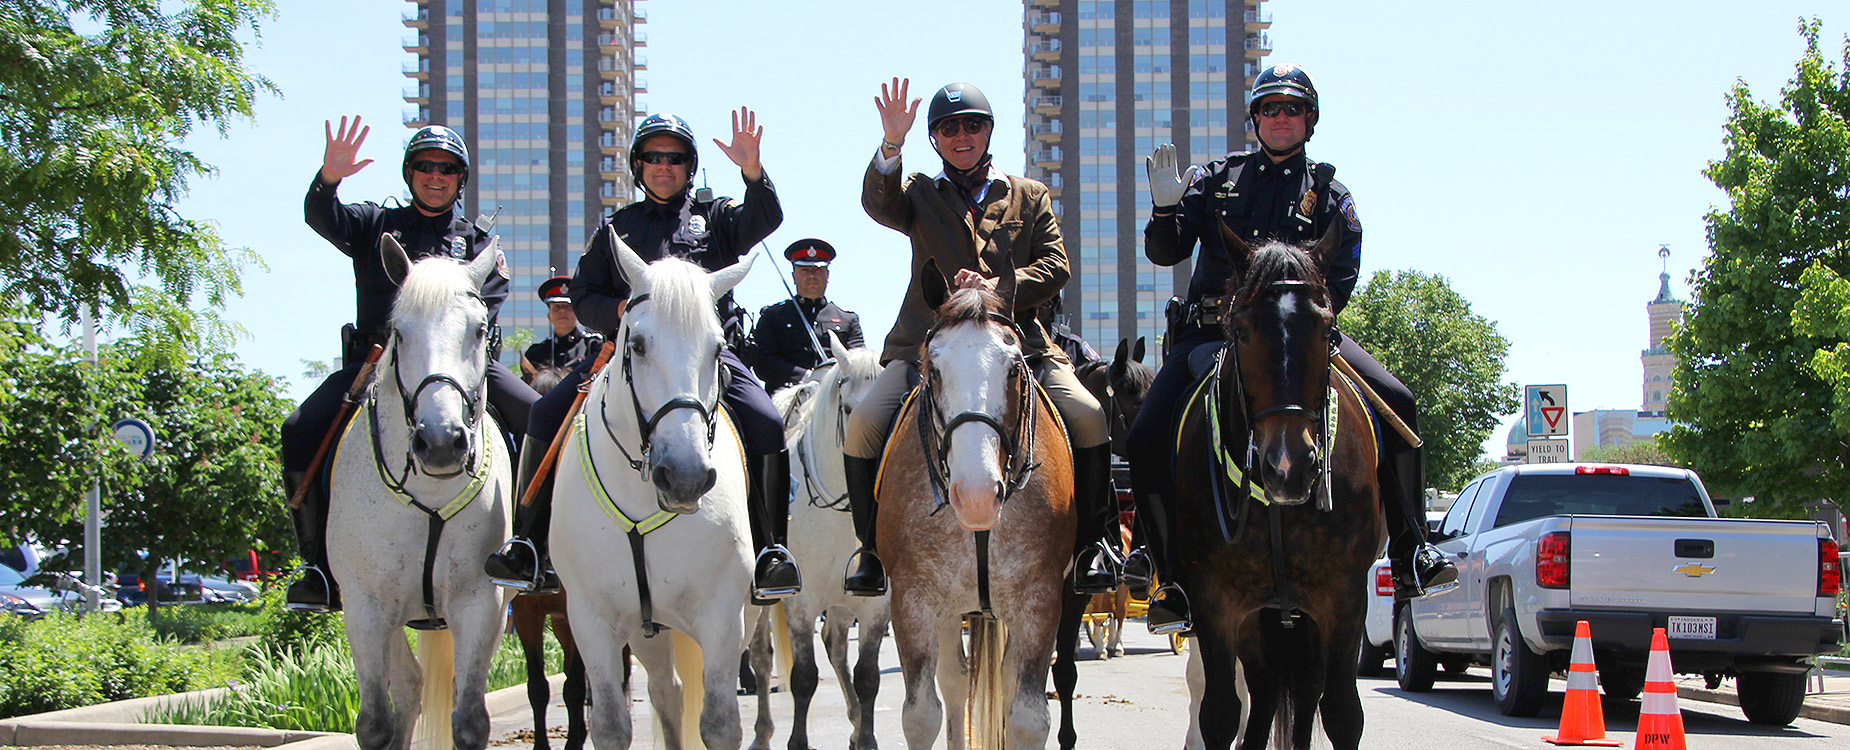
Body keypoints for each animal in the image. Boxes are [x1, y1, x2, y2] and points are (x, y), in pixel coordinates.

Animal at [327, 237, 514, 748]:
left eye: (479, 330)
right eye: (400, 331)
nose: (441, 442)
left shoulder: (479, 604)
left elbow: (469, 720)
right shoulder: (365, 607)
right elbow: (374, 722)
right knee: (408, 685)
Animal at [547, 229, 751, 748]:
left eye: (718, 349)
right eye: (637, 345)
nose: (685, 476)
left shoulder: (723, 616)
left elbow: (720, 723)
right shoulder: (591, 620)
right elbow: (610, 724)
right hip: (646, 630)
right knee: (667, 693)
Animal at [751, 333, 895, 748]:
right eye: (848, 409)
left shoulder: (875, 605)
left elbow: (868, 677)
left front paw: (866, 738)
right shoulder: (801, 603)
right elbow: (803, 678)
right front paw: (798, 742)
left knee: (835, 647)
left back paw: (855, 721)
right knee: (761, 657)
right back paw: (762, 732)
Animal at [876, 259, 1080, 748]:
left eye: (1014, 369)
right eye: (933, 369)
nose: (976, 497)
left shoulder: (1041, 600)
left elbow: (1027, 717)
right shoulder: (912, 601)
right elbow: (921, 715)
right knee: (954, 681)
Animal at [1169, 223, 1391, 748]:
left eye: (1327, 329)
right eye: (1242, 330)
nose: (1288, 466)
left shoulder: (1344, 600)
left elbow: (1343, 714)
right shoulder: (1216, 604)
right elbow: (1220, 715)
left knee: (1303, 694)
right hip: (1262, 622)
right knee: (1267, 692)